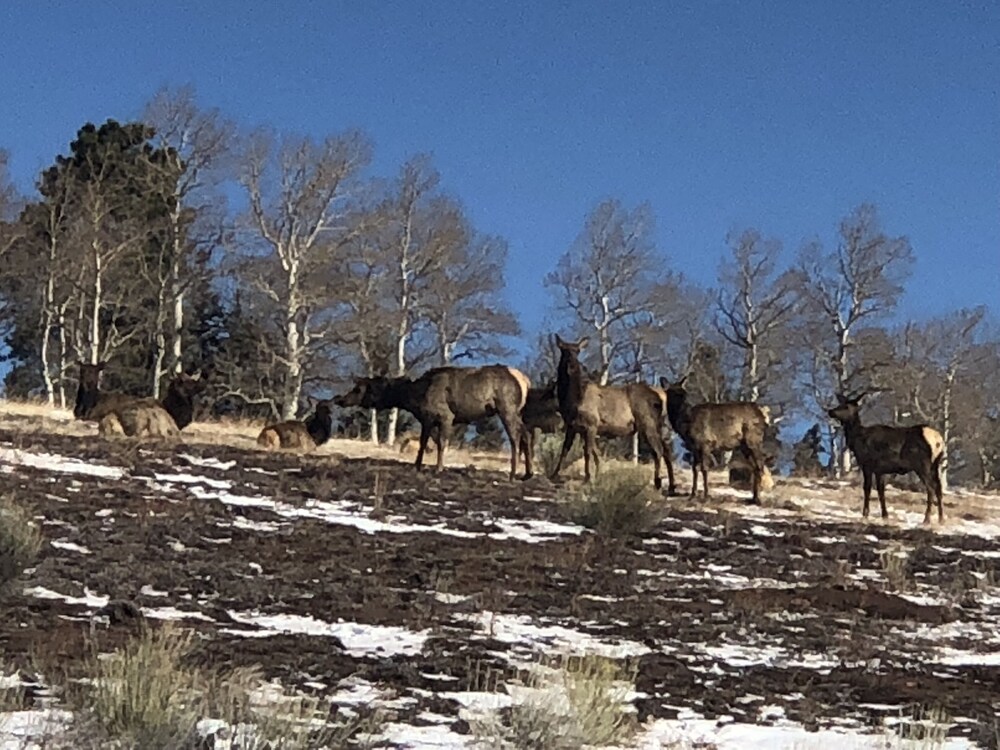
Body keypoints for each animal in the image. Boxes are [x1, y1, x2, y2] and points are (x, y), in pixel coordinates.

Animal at [334, 364, 532, 480]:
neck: (415, 398)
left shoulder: (445, 416)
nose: (340, 399)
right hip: (517, 412)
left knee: (515, 436)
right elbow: (423, 443)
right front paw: (417, 466)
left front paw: (439, 468)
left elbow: (442, 443)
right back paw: (527, 474)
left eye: (358, 389)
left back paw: (513, 473)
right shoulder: (427, 419)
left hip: (507, 408)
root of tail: (525, 381)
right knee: (526, 434)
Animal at [550, 335, 675, 492]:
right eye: (563, 350)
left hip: (647, 423)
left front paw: (587, 478)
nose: (572, 366)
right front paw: (554, 474)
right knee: (667, 451)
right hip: (660, 426)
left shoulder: (591, 424)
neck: (571, 400)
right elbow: (570, 450)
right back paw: (671, 486)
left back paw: (657, 483)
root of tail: (662, 396)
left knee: (658, 450)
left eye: (577, 351)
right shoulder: (572, 426)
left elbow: (587, 452)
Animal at [659, 375, 768, 504]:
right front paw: (692, 495)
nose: (684, 404)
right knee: (755, 466)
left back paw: (758, 499)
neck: (685, 425)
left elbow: (704, 469)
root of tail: (762, 416)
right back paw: (754, 498)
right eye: (673, 393)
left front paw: (706, 496)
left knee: (760, 464)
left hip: (753, 440)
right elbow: (694, 469)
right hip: (744, 445)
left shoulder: (705, 443)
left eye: (684, 393)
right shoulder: (694, 448)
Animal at [827, 391, 945, 523]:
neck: (857, 439)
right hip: (936, 465)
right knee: (939, 488)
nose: (830, 411)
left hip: (922, 465)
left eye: (846, 406)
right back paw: (941, 519)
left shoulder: (867, 465)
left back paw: (926, 519)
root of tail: (938, 440)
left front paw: (865, 514)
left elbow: (867, 488)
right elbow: (880, 490)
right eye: (840, 404)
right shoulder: (880, 470)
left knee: (930, 488)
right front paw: (885, 515)